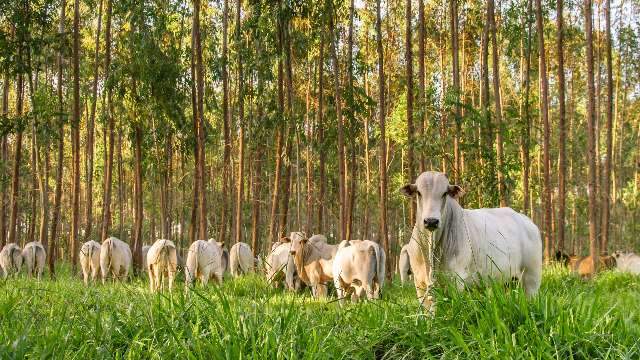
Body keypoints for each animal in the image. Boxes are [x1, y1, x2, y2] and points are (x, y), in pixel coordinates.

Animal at [400, 170, 540, 308]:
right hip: (507, 281)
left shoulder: (456, 280)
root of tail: (527, 222)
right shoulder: (420, 284)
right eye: (419, 192)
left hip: (531, 279)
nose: (431, 221)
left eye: (444, 193)